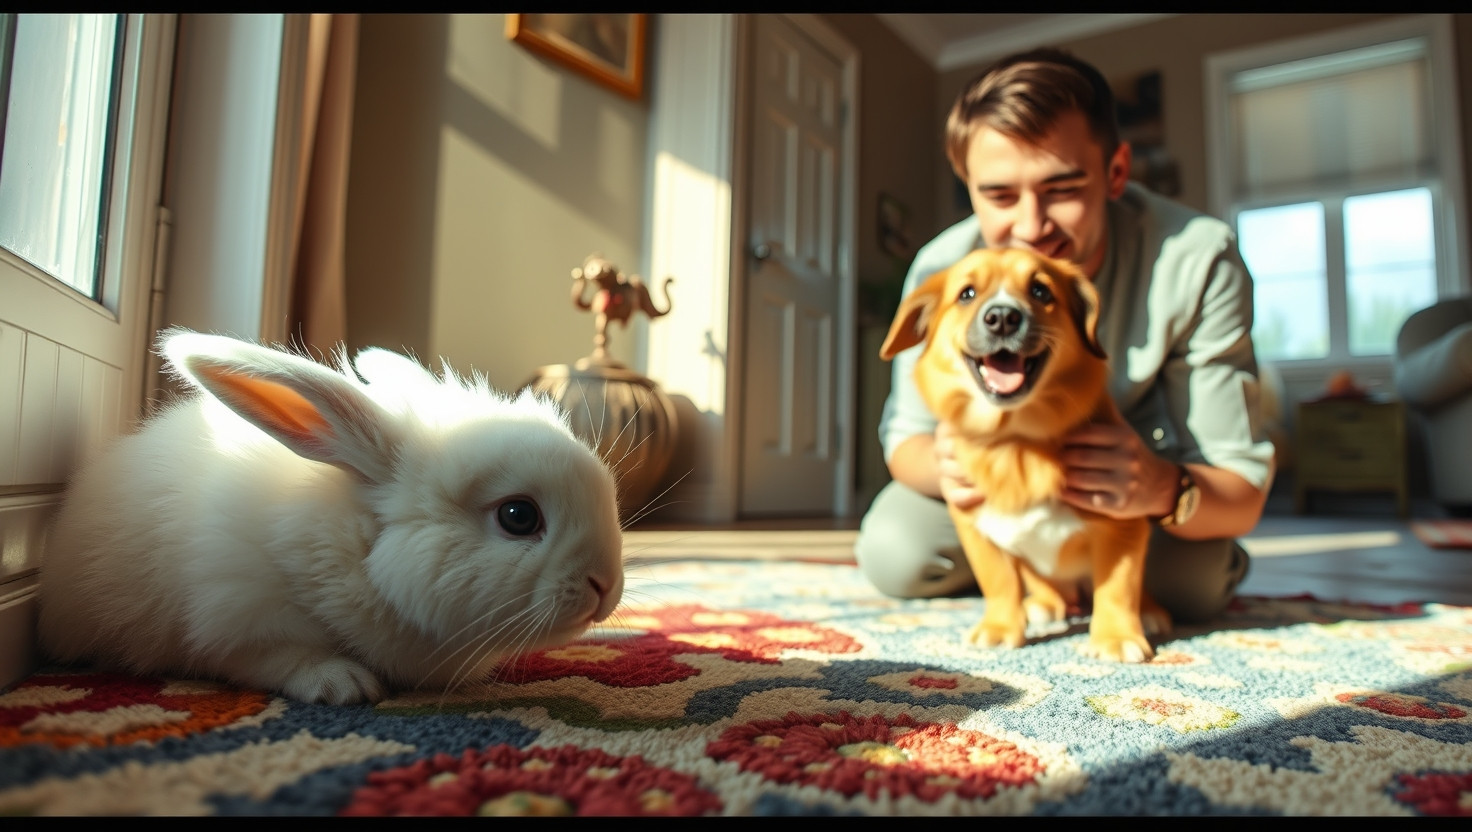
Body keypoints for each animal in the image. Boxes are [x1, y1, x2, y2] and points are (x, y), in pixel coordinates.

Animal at [36, 328, 625, 705]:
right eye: (518, 516)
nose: (606, 587)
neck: (357, 549)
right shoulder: (234, 608)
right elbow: (274, 655)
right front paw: (343, 684)